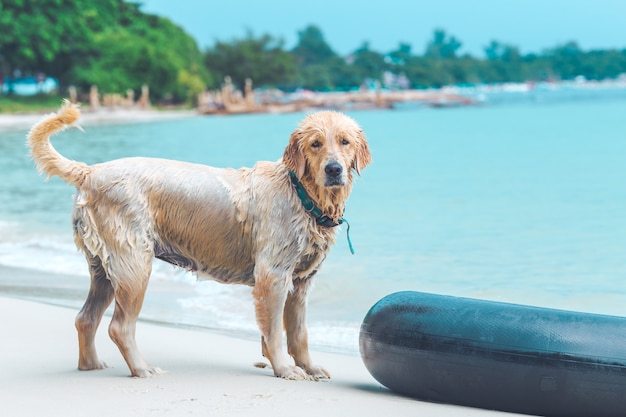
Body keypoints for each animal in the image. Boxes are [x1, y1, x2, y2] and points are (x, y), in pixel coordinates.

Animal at [28, 101, 370, 380]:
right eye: (315, 144)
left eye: (344, 141)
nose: (334, 169)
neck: (301, 195)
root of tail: (90, 171)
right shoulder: (273, 276)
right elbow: (274, 332)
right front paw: (285, 369)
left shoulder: (301, 282)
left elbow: (299, 333)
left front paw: (309, 368)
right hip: (134, 264)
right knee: (119, 327)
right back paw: (142, 368)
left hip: (103, 269)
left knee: (85, 318)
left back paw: (91, 365)